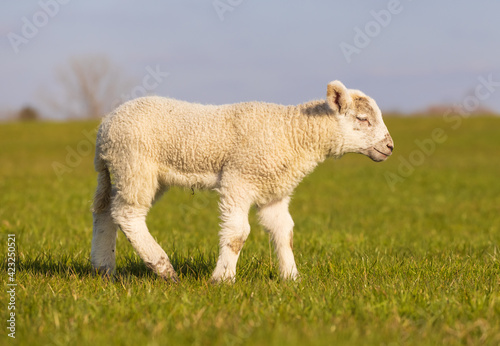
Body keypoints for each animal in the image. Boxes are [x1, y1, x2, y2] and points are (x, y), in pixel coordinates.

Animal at [90, 80, 394, 282]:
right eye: (363, 119)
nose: (390, 147)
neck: (293, 133)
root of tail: (105, 127)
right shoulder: (239, 179)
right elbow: (237, 234)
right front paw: (223, 279)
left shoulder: (273, 190)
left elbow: (285, 232)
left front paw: (291, 278)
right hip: (134, 164)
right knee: (127, 214)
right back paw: (163, 267)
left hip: (125, 171)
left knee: (105, 212)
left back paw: (104, 268)